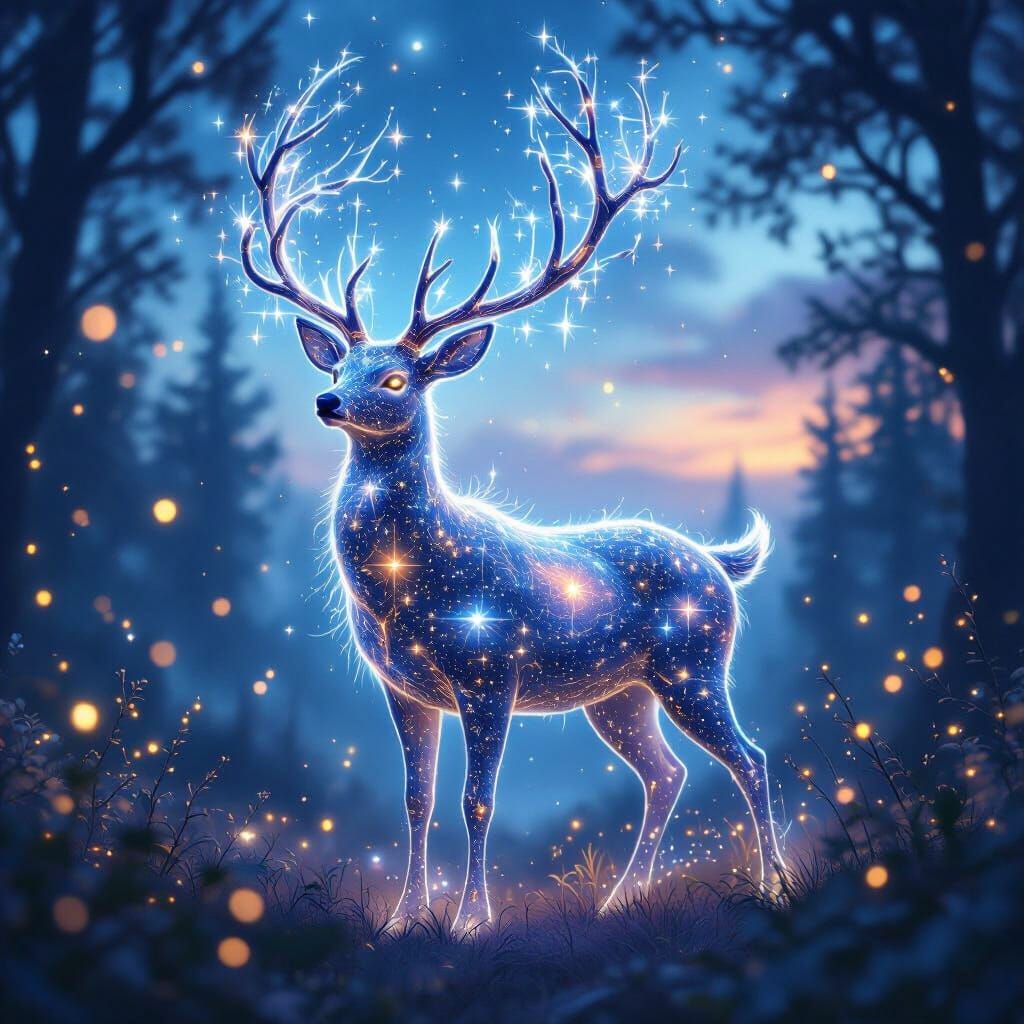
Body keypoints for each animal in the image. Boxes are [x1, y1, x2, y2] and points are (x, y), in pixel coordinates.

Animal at [239, 45, 787, 927]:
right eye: (339, 365)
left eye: (395, 379)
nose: (326, 402)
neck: (407, 591)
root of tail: (720, 563)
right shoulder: (402, 687)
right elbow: (416, 801)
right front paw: (405, 918)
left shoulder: (492, 668)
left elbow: (478, 800)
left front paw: (471, 920)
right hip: (619, 692)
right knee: (666, 773)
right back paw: (619, 900)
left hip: (695, 662)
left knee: (752, 757)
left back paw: (772, 883)